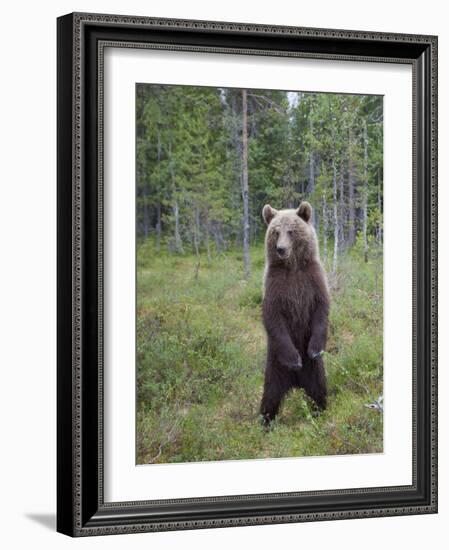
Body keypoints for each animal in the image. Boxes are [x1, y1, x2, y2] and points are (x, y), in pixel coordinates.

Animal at [260, 203, 328, 426]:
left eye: (291, 231)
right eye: (275, 231)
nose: (281, 249)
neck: (293, 267)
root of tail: (296, 383)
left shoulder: (312, 279)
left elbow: (321, 309)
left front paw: (315, 349)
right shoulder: (275, 285)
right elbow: (273, 317)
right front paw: (294, 359)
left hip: (314, 370)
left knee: (318, 390)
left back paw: (321, 412)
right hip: (274, 365)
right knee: (270, 396)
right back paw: (265, 422)